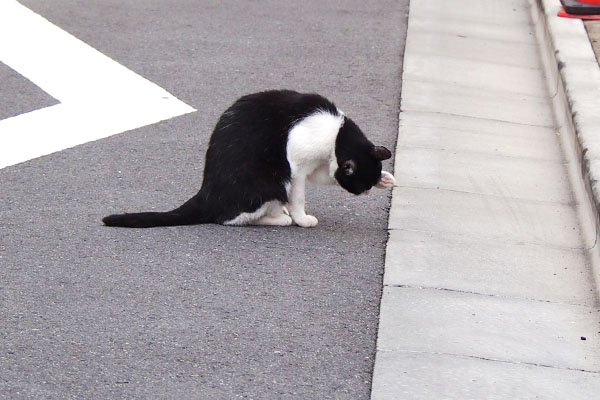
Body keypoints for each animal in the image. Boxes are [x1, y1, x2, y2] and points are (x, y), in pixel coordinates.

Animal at [102, 90, 394, 228]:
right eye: (359, 186)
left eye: (368, 185)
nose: (367, 192)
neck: (337, 135)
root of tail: (205, 193)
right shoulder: (298, 167)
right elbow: (299, 197)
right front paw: (302, 218)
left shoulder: (320, 166)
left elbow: (323, 175)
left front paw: (385, 178)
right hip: (272, 180)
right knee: (231, 217)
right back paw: (281, 218)